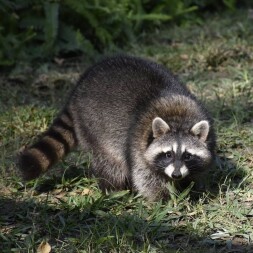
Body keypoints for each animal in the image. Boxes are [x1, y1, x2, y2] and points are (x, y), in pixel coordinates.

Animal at [18, 55, 215, 202]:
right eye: (168, 154)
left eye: (187, 155)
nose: (176, 175)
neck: (178, 118)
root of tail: (78, 87)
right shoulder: (137, 143)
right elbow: (145, 177)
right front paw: (163, 198)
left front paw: (191, 187)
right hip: (91, 125)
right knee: (110, 163)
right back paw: (113, 189)